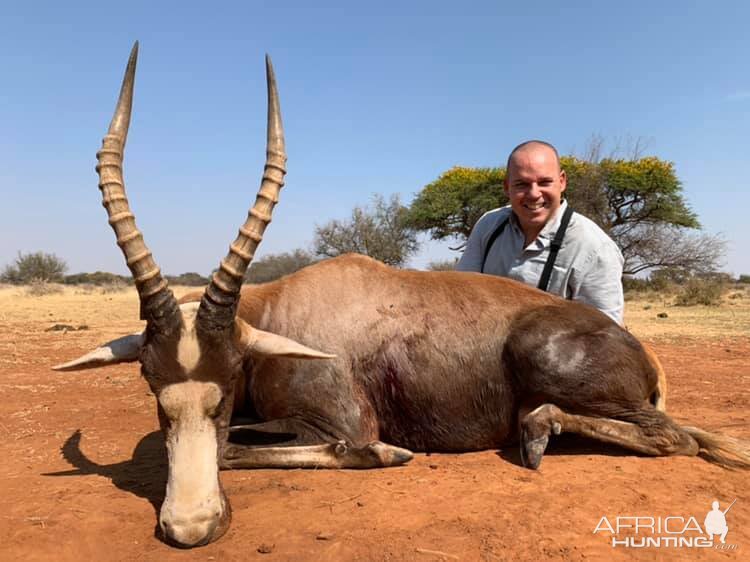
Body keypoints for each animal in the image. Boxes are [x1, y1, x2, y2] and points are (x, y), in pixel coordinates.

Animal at [53, 44, 750, 548]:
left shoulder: (337, 421)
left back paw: (537, 432)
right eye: (150, 381)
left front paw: (387, 450)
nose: (189, 527)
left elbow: (247, 447)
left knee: (676, 439)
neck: (281, 311)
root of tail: (641, 352)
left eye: (226, 385)